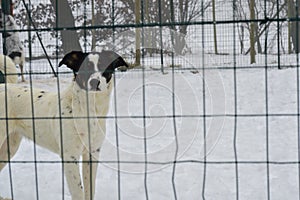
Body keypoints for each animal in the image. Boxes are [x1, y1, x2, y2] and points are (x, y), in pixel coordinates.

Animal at [0, 49, 127, 199]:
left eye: (105, 66)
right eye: (84, 67)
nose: (95, 82)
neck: (88, 111)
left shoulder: (92, 154)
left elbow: (90, 189)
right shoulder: (70, 157)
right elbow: (78, 193)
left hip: (9, 147)